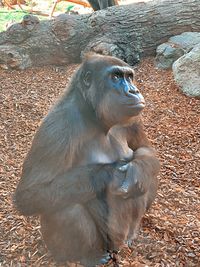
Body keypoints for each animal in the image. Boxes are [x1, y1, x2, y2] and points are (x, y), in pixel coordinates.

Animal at [14, 55, 160, 267]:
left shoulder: (134, 120)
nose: (134, 91)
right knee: (63, 207)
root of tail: (117, 247)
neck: (93, 114)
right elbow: (31, 193)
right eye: (116, 77)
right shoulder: (59, 125)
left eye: (129, 77)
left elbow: (145, 150)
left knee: (150, 173)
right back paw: (89, 256)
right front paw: (112, 174)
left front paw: (137, 171)